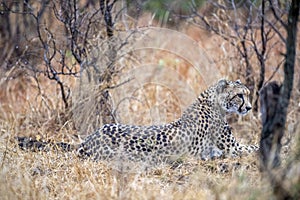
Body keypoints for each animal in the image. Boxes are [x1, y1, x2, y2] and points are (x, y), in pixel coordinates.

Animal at [17, 79, 258, 163]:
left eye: (247, 94)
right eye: (240, 95)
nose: (249, 107)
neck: (213, 100)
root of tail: (90, 138)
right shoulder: (233, 148)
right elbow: (254, 147)